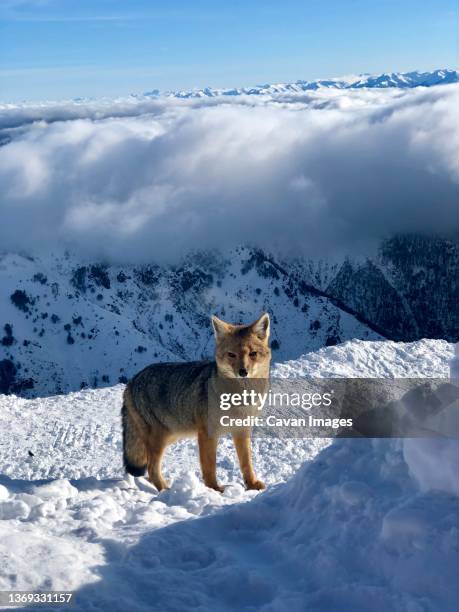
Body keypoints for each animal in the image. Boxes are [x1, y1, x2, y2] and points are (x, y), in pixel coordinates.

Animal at [123, 316, 274, 492]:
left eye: (253, 354)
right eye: (232, 355)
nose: (243, 372)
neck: (239, 398)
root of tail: (132, 381)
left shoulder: (241, 430)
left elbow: (247, 463)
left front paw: (251, 484)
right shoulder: (207, 434)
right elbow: (209, 467)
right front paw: (214, 489)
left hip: (171, 435)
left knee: (148, 465)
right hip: (160, 439)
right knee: (152, 468)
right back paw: (166, 490)